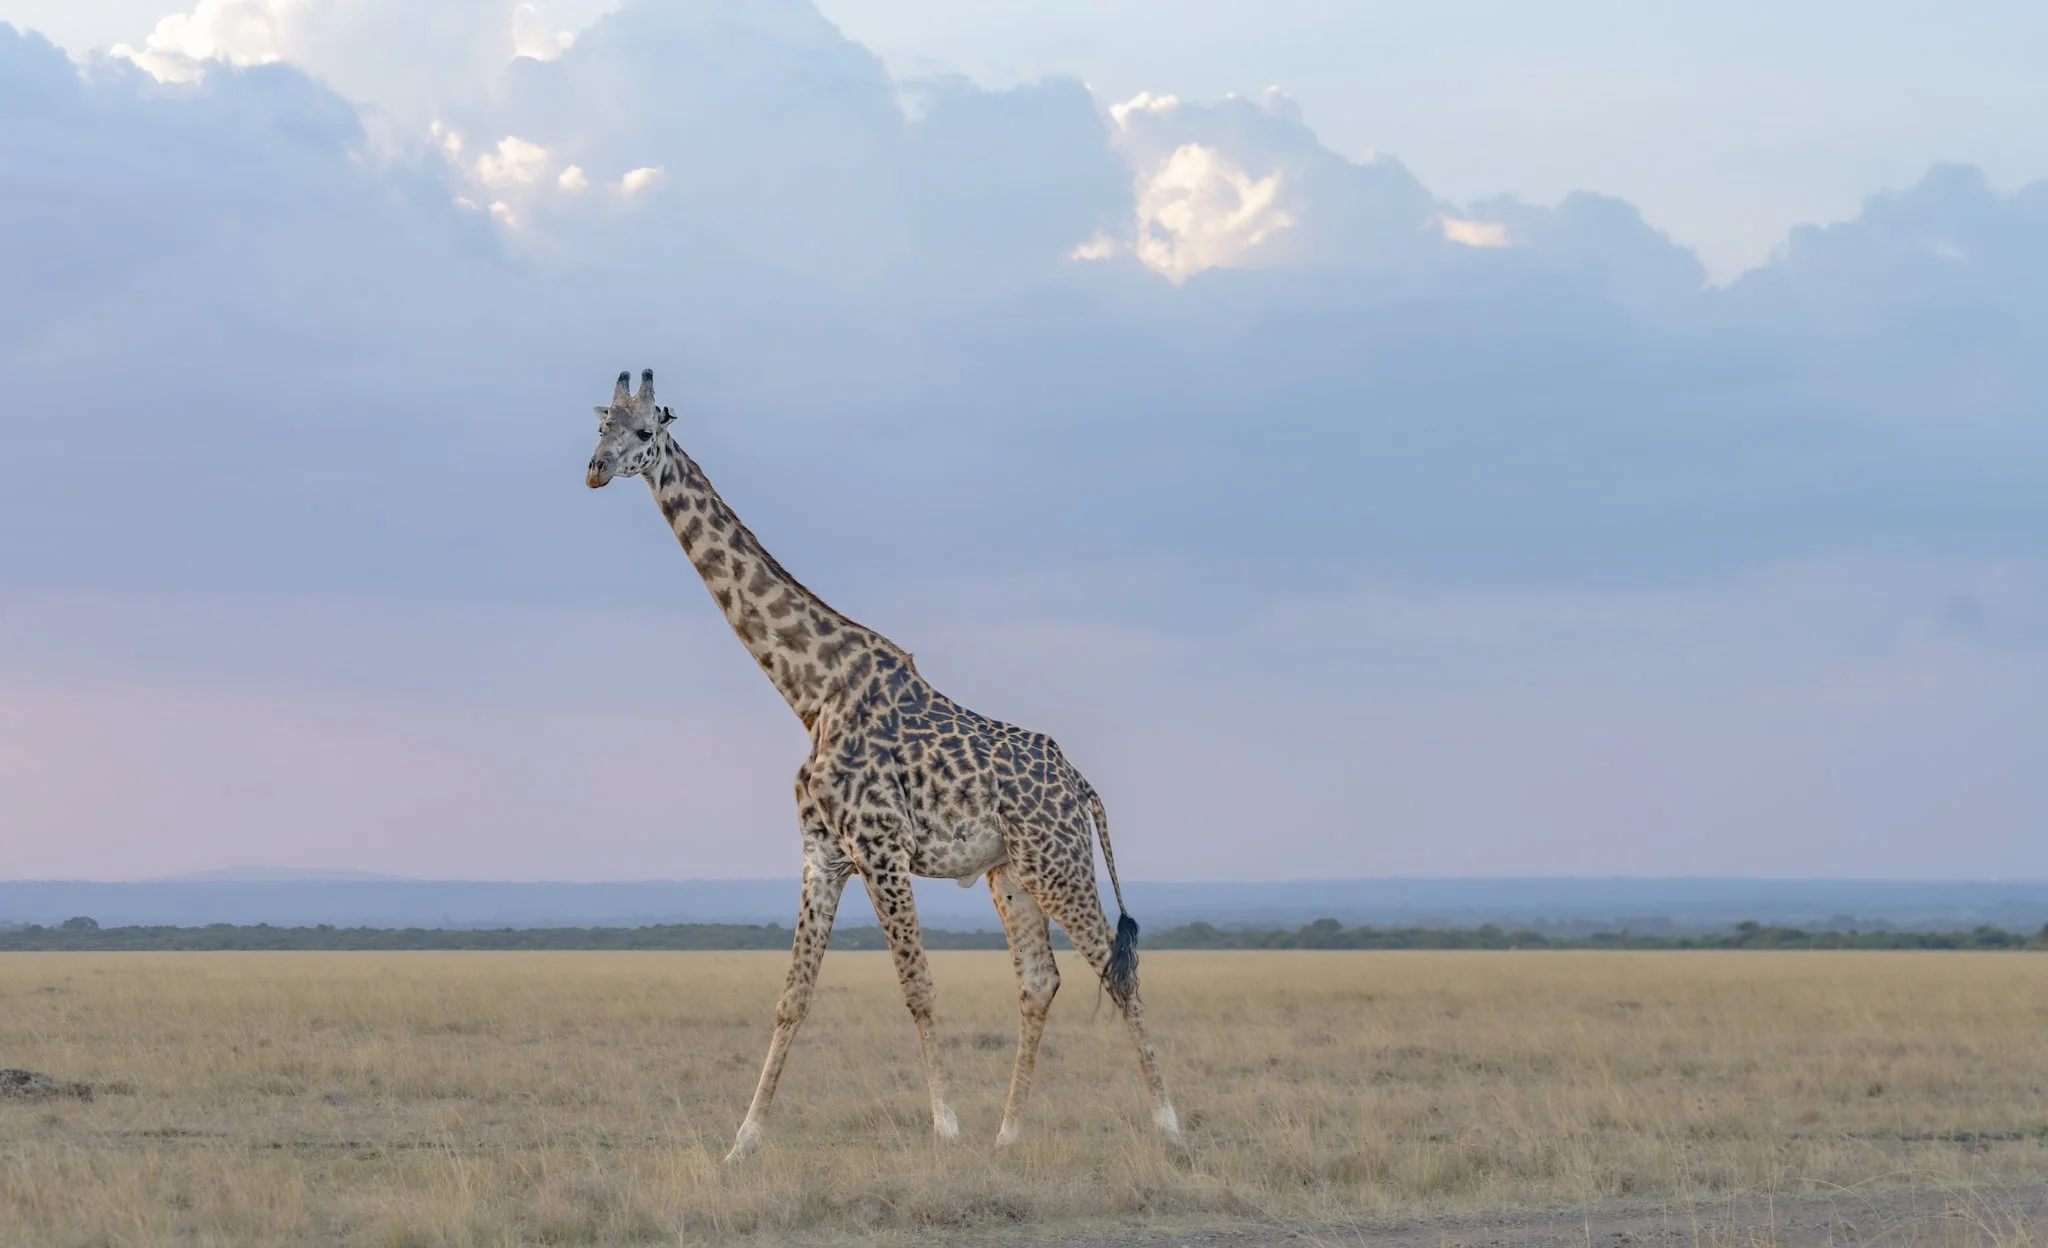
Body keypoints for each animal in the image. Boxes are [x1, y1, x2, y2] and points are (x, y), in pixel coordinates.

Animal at [585, 370, 1181, 1161]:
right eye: (600, 425)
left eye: (646, 430)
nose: (595, 469)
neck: (809, 691)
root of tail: (1081, 785)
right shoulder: (822, 853)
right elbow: (792, 997)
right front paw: (743, 1141)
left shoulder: (880, 847)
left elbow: (918, 988)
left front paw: (946, 1129)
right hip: (1011, 870)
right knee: (1039, 980)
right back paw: (1009, 1134)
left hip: (1060, 864)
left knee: (1118, 974)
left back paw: (1170, 1127)